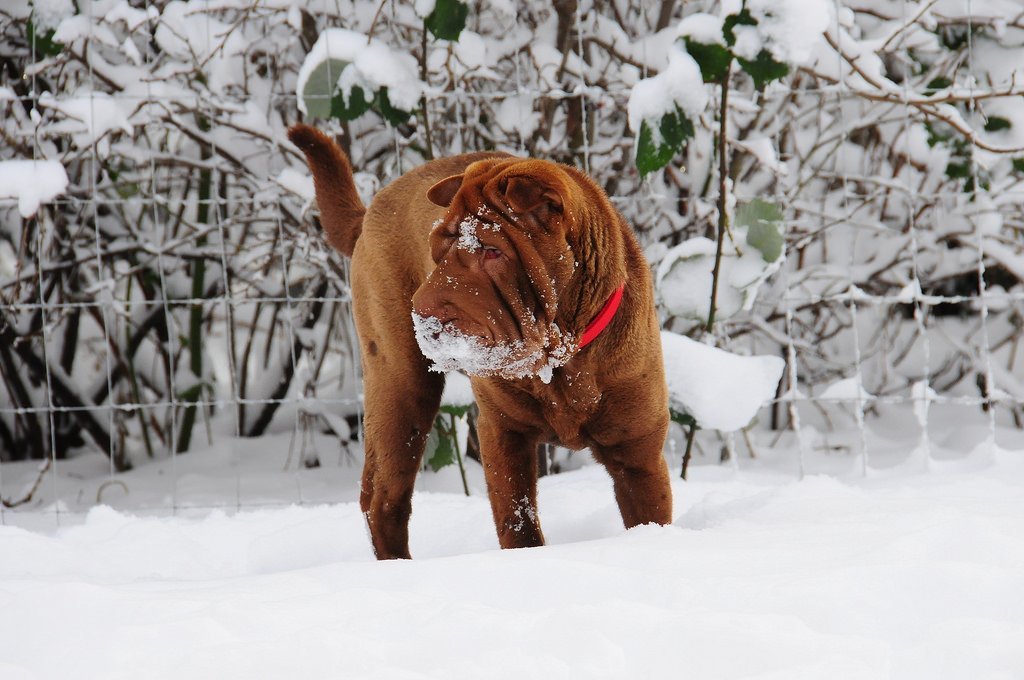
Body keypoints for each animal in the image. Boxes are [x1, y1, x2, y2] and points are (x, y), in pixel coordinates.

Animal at [288, 124, 671, 561]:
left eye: (491, 250)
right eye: (439, 248)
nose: (421, 314)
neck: (560, 357)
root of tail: (369, 212)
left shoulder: (638, 455)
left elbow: (650, 520)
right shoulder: (502, 434)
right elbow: (517, 523)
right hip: (399, 382)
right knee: (384, 498)